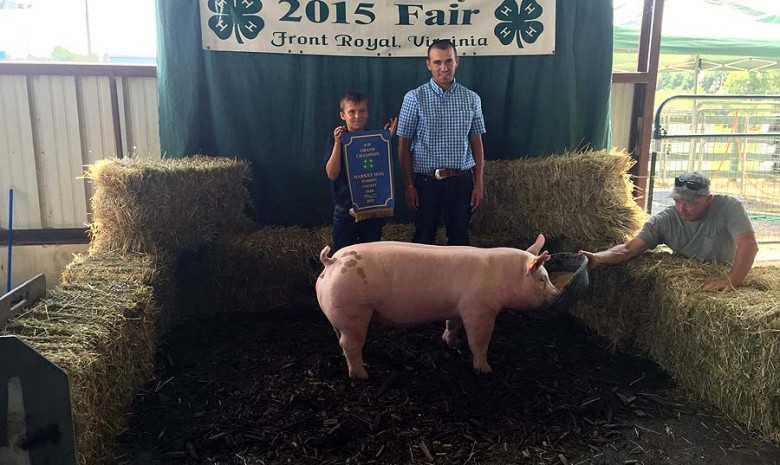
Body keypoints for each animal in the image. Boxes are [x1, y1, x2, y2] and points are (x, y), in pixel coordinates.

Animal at [314, 234, 556, 378]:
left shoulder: (458, 308)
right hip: (354, 311)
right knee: (350, 345)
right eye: (542, 279)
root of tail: (333, 261)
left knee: (339, 337)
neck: (502, 277)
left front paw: (452, 344)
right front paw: (486, 370)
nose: (555, 294)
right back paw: (362, 375)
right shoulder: (479, 311)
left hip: (339, 313)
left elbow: (452, 324)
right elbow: (479, 342)